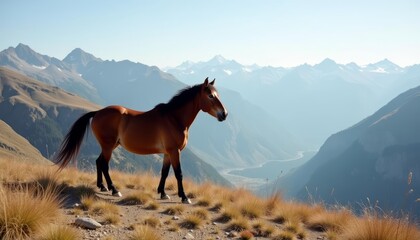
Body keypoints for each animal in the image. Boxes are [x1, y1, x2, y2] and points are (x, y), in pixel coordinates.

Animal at [55, 78, 228, 203]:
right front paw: (184, 197)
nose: (224, 114)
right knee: (104, 164)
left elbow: (164, 173)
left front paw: (163, 193)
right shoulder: (174, 151)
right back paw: (114, 190)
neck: (174, 118)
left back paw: (102, 186)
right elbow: (178, 173)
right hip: (108, 146)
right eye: (210, 96)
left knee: (98, 162)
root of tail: (98, 112)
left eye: (218, 95)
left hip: (109, 146)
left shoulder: (167, 153)